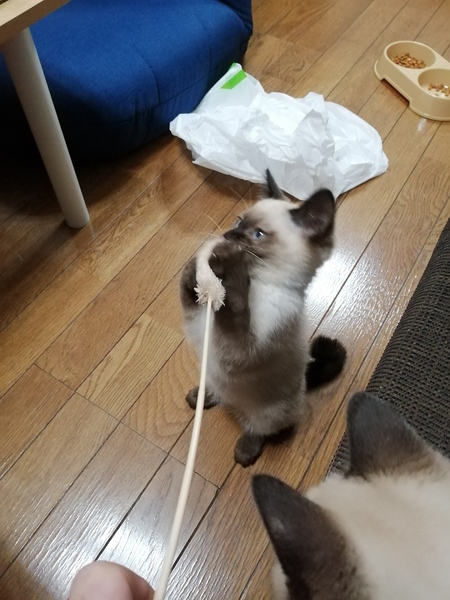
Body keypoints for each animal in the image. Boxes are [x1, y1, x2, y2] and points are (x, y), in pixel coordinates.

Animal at [180, 170, 346, 467]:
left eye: (257, 235)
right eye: (238, 221)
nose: (228, 235)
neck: (258, 283)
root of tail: (305, 384)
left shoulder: (242, 350)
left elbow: (235, 307)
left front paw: (228, 265)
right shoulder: (197, 325)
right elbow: (187, 288)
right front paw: (203, 257)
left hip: (270, 412)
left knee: (259, 430)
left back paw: (244, 453)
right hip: (213, 372)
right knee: (218, 392)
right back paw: (200, 396)